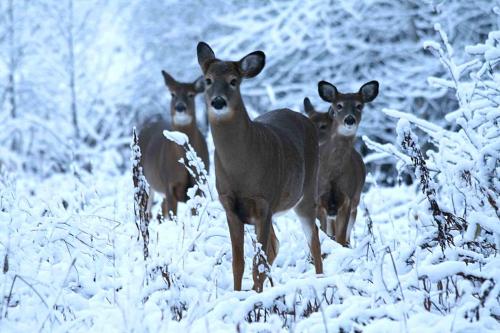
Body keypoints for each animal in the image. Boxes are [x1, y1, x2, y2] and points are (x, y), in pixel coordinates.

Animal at [137, 71, 209, 217]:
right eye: (172, 94)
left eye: (191, 94)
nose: (180, 107)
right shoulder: (169, 184)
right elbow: (173, 217)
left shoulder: (198, 186)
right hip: (143, 180)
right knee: (146, 213)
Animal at [196, 41, 324, 290]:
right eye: (207, 80)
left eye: (233, 81)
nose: (218, 101)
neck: (240, 170)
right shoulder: (230, 206)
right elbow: (239, 263)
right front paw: (238, 294)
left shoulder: (264, 202)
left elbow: (258, 266)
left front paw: (256, 295)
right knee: (276, 245)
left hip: (306, 193)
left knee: (313, 239)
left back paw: (321, 280)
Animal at [304, 80, 378, 246]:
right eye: (339, 105)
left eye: (359, 105)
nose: (349, 119)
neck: (332, 174)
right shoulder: (319, 199)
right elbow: (324, 233)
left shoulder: (347, 198)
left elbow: (341, 238)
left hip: (356, 203)